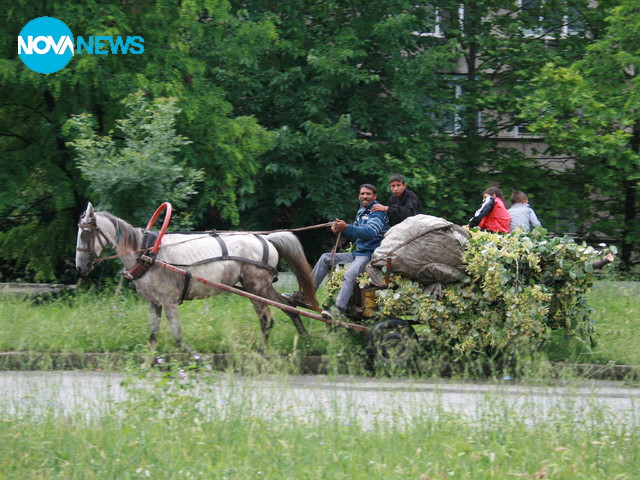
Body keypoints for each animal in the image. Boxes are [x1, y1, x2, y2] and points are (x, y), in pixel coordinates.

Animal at [75, 202, 318, 352]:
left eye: (86, 233)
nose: (80, 267)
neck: (146, 253)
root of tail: (266, 239)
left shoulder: (169, 301)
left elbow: (177, 335)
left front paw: (195, 356)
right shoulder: (154, 303)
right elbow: (153, 335)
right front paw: (147, 363)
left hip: (256, 289)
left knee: (267, 321)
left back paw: (260, 352)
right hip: (262, 288)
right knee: (289, 307)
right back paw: (305, 339)